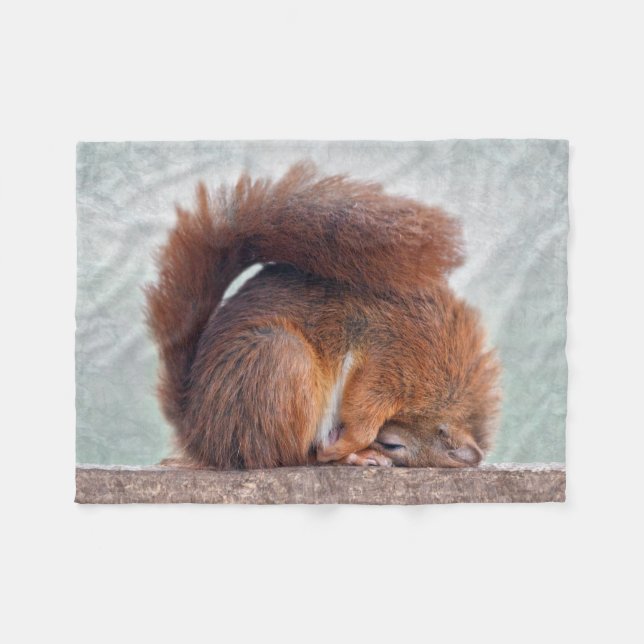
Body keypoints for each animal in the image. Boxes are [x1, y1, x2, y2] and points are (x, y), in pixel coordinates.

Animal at [145, 162, 501, 469]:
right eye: (394, 444)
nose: (383, 443)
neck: (446, 390)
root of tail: (200, 433)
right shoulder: (395, 360)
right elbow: (364, 407)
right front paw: (348, 444)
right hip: (280, 359)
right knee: (292, 457)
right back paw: (347, 455)